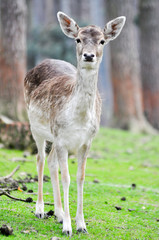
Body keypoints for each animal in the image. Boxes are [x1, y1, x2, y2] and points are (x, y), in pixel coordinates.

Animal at [23, 11, 125, 236]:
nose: (88, 55)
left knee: (51, 162)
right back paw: (41, 210)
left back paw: (59, 214)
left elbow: (80, 177)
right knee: (40, 159)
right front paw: (68, 228)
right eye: (78, 39)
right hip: (37, 128)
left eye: (102, 41)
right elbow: (66, 178)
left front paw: (81, 225)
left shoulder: (86, 141)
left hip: (54, 137)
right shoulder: (61, 138)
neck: (78, 118)